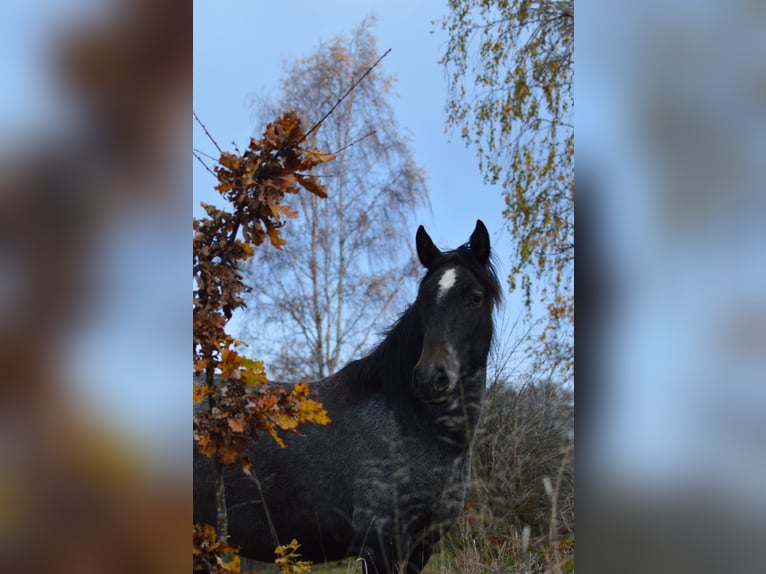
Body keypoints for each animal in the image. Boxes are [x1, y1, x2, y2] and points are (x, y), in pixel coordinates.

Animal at [195, 220, 500, 574]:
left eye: (475, 298)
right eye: (423, 300)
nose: (430, 378)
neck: (412, 425)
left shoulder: (421, 548)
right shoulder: (381, 544)